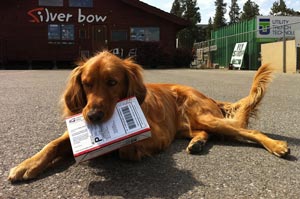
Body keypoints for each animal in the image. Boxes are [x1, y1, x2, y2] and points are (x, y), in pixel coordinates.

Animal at [8, 51, 290, 182]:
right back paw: (197, 143)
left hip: (202, 116)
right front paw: (27, 164)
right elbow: (52, 144)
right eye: (86, 84)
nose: (93, 116)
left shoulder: (158, 135)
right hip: (189, 125)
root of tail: (206, 94)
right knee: (203, 132)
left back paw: (277, 145)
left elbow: (126, 150)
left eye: (112, 82)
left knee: (248, 131)